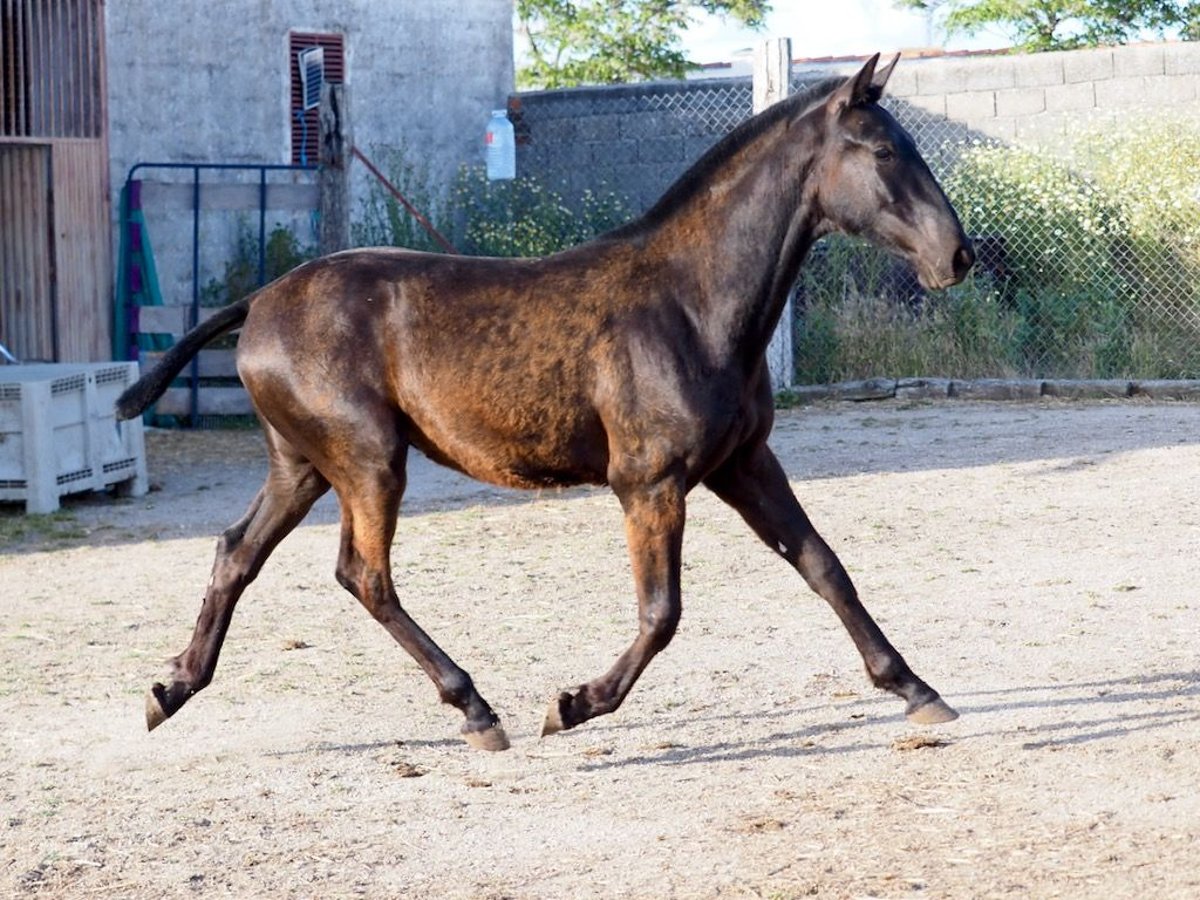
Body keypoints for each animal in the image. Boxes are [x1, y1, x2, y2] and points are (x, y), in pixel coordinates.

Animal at [117, 52, 974, 748]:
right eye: (885, 150)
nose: (957, 256)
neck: (691, 303)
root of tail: (259, 302)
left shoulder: (744, 463)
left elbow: (824, 566)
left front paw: (916, 688)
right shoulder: (650, 482)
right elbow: (662, 613)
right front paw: (573, 705)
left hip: (302, 464)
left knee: (238, 553)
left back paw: (171, 688)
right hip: (367, 460)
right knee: (364, 575)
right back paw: (475, 709)